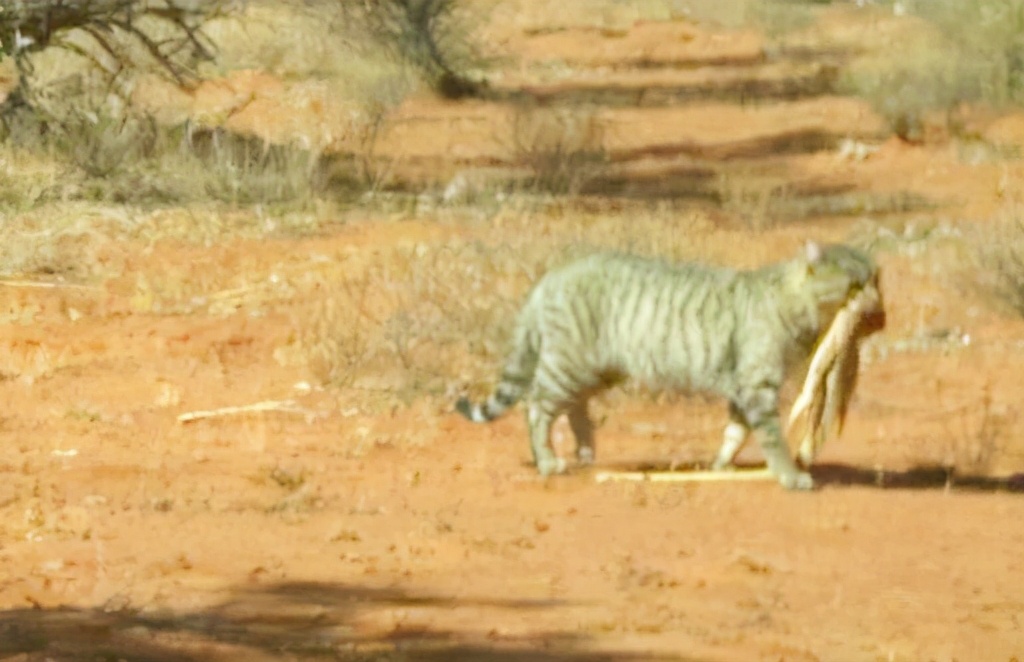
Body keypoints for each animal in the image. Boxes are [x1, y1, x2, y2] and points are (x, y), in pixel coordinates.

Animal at [456, 243, 880, 491]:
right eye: (856, 285)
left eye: (877, 279)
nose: (876, 305)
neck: (795, 304)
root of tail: (551, 275)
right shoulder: (757, 385)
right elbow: (773, 439)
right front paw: (791, 476)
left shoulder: (743, 388)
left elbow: (734, 432)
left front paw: (721, 465)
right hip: (568, 366)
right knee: (536, 407)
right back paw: (547, 460)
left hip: (596, 371)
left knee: (574, 408)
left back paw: (587, 452)